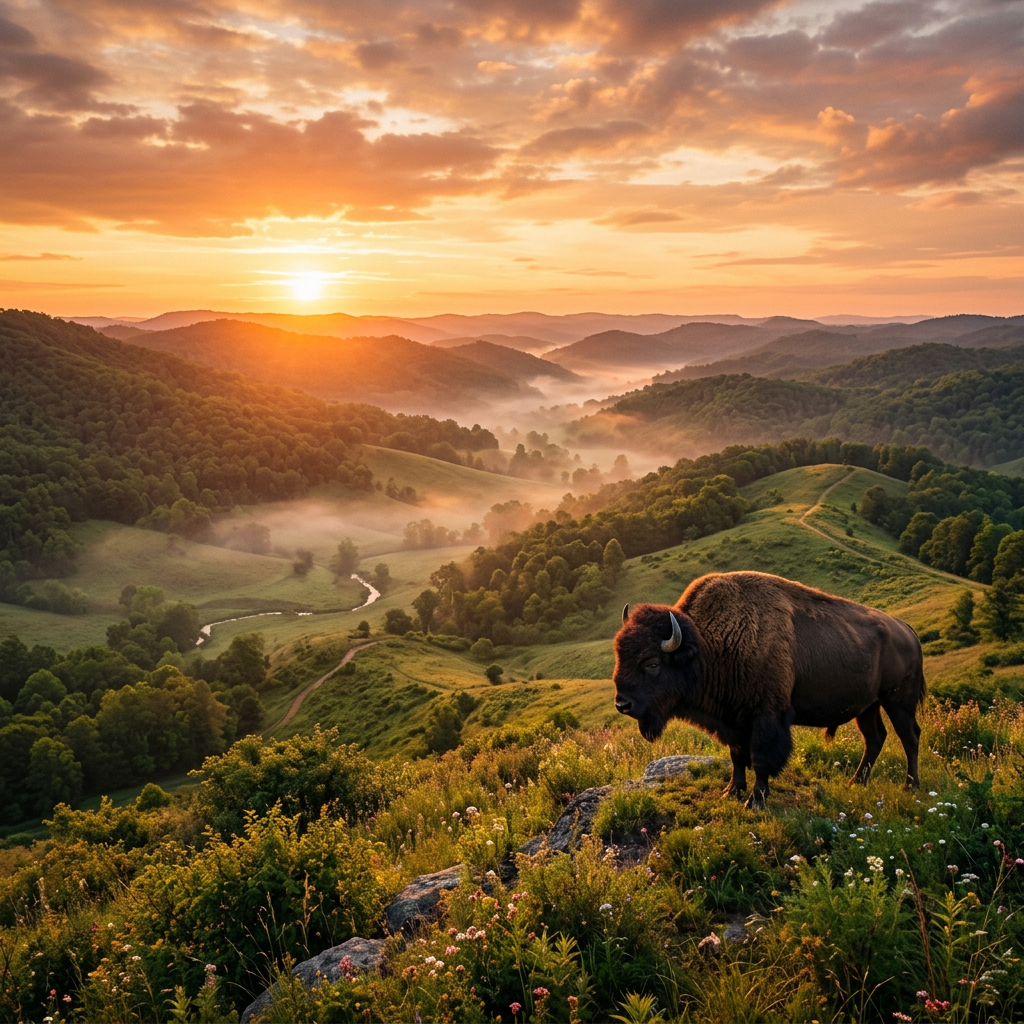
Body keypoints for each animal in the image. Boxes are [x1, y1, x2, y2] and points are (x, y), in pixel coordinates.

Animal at [614, 571, 925, 807]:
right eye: (619, 655)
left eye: (652, 663)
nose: (622, 704)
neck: (707, 646)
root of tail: (907, 630)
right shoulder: (733, 719)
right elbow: (738, 756)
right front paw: (731, 791)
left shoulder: (766, 717)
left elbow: (761, 758)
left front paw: (755, 800)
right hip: (868, 706)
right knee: (875, 738)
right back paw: (855, 783)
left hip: (898, 701)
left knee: (909, 737)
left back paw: (911, 786)